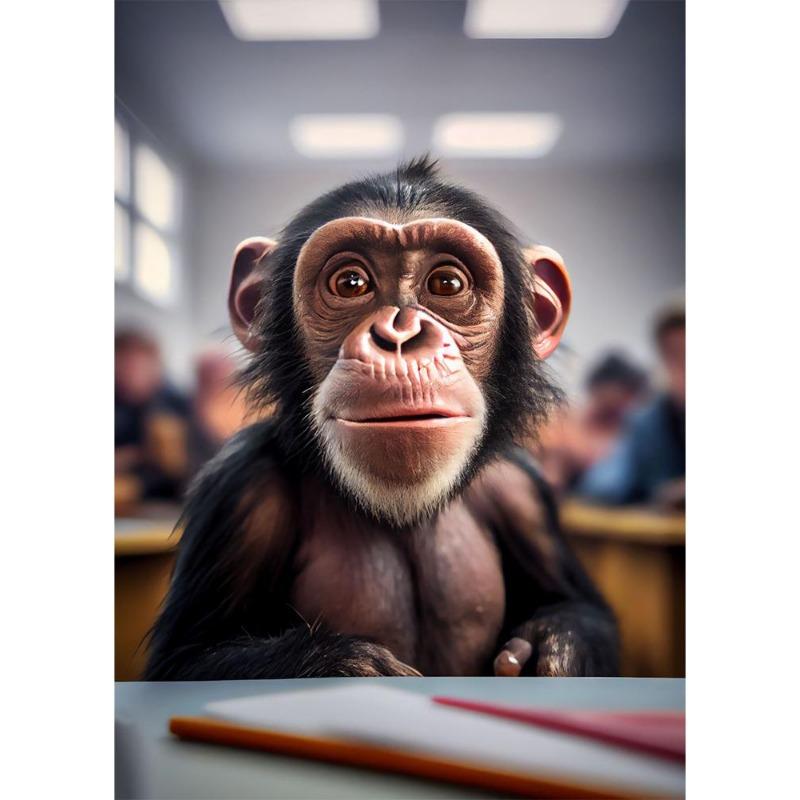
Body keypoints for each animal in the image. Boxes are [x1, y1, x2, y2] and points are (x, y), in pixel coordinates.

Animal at [145, 157, 619, 680]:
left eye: (446, 284)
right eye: (351, 283)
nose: (399, 335)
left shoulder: (523, 491)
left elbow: (575, 604)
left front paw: (553, 646)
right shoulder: (239, 490)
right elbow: (188, 659)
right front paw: (352, 666)